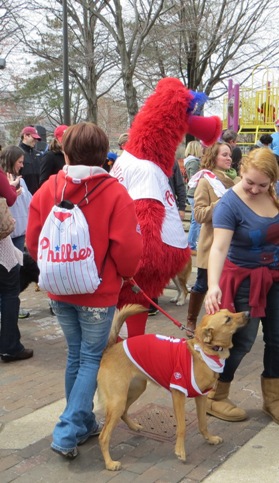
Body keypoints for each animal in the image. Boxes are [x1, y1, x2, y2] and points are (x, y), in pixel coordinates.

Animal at [98, 306, 249, 472]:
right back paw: (109, 463)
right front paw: (180, 451)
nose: (248, 313)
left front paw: (209, 438)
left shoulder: (201, 396)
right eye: (228, 319)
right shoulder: (178, 394)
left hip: (134, 391)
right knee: (103, 436)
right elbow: (181, 427)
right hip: (117, 401)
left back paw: (134, 426)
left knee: (124, 412)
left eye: (230, 311)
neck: (202, 351)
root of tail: (110, 348)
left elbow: (203, 423)